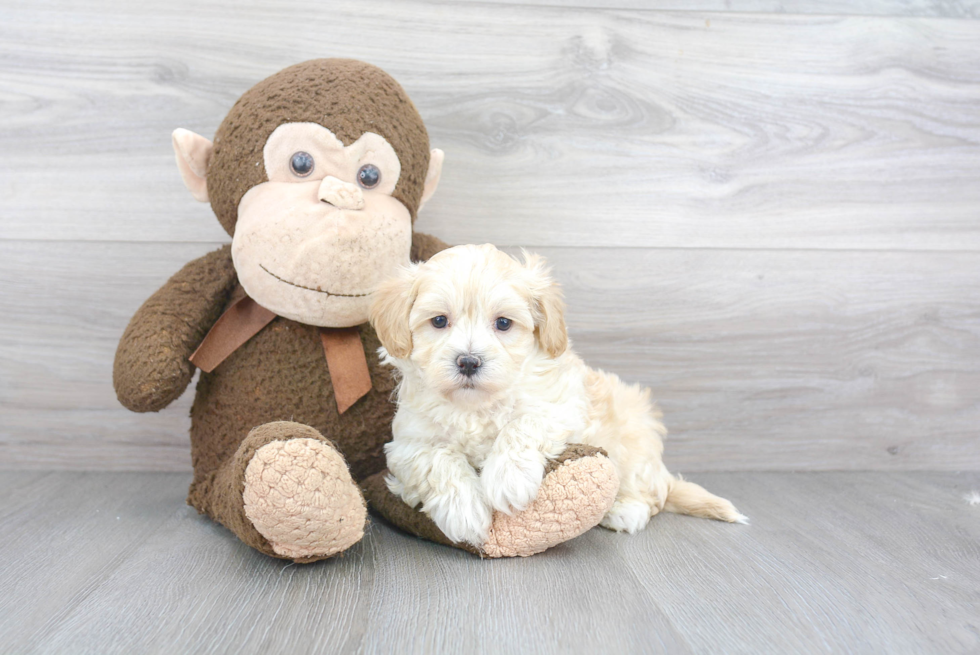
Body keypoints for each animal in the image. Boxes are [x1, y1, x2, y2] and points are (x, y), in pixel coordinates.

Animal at [368, 243, 744, 544]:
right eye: (439, 321)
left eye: (503, 323)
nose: (469, 361)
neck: (477, 405)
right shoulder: (407, 445)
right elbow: (438, 460)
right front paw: (465, 511)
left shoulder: (561, 407)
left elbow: (523, 424)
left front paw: (507, 478)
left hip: (634, 438)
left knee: (651, 496)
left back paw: (624, 510)